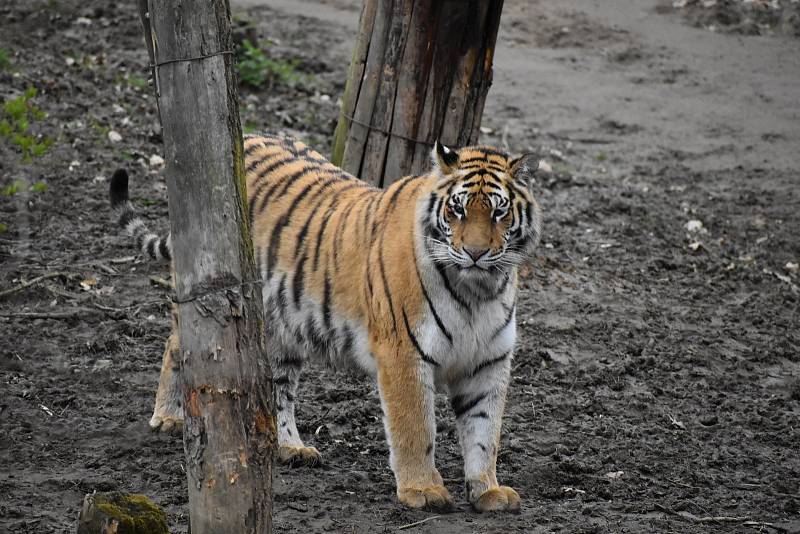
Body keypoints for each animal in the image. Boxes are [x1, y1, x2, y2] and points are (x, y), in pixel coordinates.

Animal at [108, 132, 544, 512]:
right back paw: (168, 417)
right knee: (175, 348)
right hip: (209, 297)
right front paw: (422, 490)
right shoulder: (403, 353)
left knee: (279, 388)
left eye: (499, 211)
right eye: (457, 209)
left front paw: (487, 491)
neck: (478, 291)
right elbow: (416, 428)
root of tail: (246, 136)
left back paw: (290, 448)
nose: (475, 253)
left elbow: (485, 433)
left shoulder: (488, 362)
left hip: (282, 325)